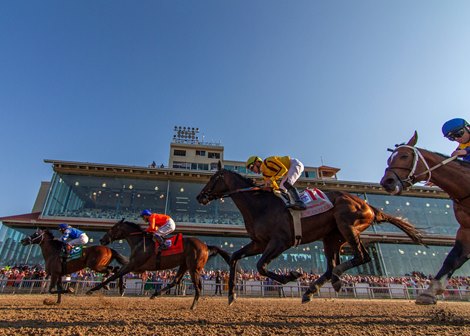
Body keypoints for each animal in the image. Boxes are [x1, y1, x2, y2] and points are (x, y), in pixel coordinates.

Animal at [87, 220, 232, 310]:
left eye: (112, 228)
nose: (102, 239)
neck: (140, 242)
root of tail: (206, 246)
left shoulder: (135, 265)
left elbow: (115, 275)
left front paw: (93, 289)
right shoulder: (137, 267)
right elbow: (117, 272)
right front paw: (121, 288)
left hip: (194, 268)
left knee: (198, 286)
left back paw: (193, 305)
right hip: (184, 265)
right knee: (175, 281)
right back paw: (155, 294)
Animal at [196, 161, 424, 306]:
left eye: (213, 178)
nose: (200, 196)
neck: (260, 205)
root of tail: (368, 206)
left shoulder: (281, 242)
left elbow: (261, 266)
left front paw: (291, 275)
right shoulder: (259, 243)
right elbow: (234, 257)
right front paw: (232, 294)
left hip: (347, 226)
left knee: (361, 257)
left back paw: (332, 279)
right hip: (332, 237)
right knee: (331, 266)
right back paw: (313, 289)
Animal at [380, 131, 468, 304]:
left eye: (404, 156)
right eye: (389, 160)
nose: (387, 182)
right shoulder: (465, 228)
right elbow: (452, 258)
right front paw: (429, 292)